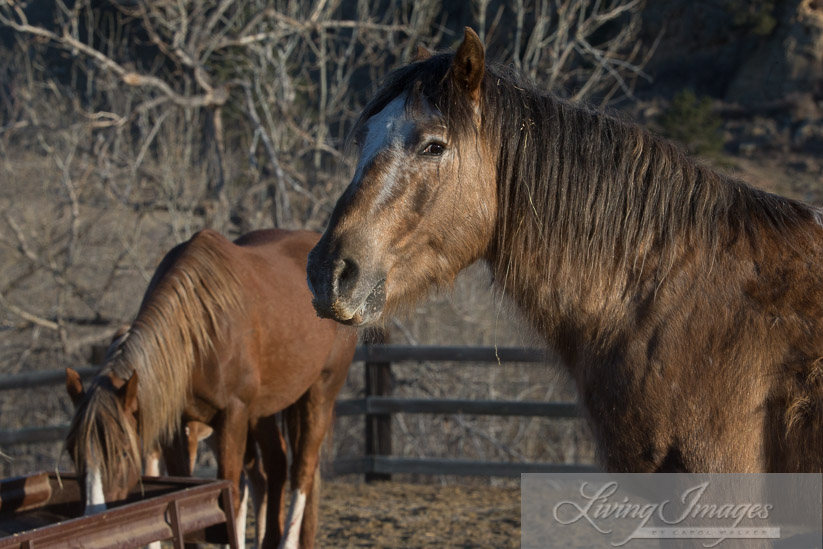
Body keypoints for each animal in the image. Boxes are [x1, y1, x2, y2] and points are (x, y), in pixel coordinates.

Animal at [65, 226, 358, 544]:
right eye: (73, 452)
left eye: (121, 453)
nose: (93, 524)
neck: (197, 334)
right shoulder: (176, 428)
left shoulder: (233, 415)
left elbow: (229, 492)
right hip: (264, 410)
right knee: (276, 465)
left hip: (320, 393)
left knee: (302, 470)